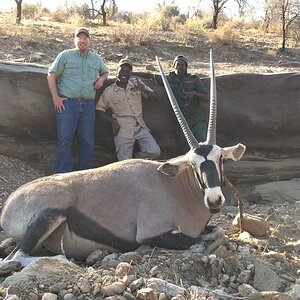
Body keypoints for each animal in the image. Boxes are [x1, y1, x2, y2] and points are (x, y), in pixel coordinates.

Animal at [0, 51, 246, 264]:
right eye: (193, 164)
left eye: (220, 159)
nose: (214, 200)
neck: (177, 186)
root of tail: (9, 204)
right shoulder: (152, 232)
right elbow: (196, 242)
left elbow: (219, 230)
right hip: (49, 216)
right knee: (15, 258)